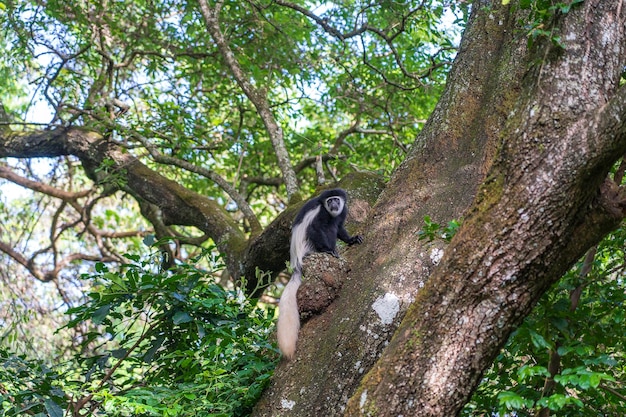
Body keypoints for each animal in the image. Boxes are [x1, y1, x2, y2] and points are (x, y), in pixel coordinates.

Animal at [276, 188, 360, 358]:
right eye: (329, 201)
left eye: (336, 199)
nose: (334, 204)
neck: (330, 212)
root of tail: (298, 262)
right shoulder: (321, 213)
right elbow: (315, 228)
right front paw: (328, 250)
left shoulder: (343, 211)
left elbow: (340, 227)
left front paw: (351, 239)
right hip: (309, 245)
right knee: (325, 229)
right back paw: (329, 250)